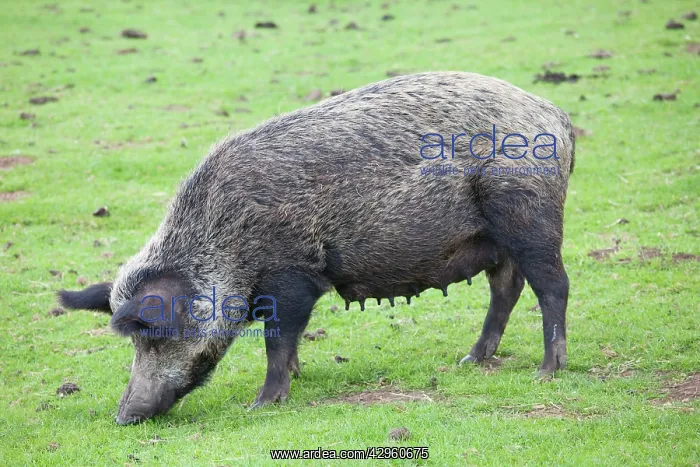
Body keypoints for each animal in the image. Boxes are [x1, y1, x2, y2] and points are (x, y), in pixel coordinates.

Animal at [58, 71, 575, 424]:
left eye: (154, 336)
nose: (124, 416)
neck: (224, 239)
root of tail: (558, 116)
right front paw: (298, 376)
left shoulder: (292, 276)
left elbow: (277, 338)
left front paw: (262, 403)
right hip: (497, 237)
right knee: (506, 289)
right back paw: (471, 360)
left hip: (528, 214)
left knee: (554, 286)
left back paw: (546, 372)